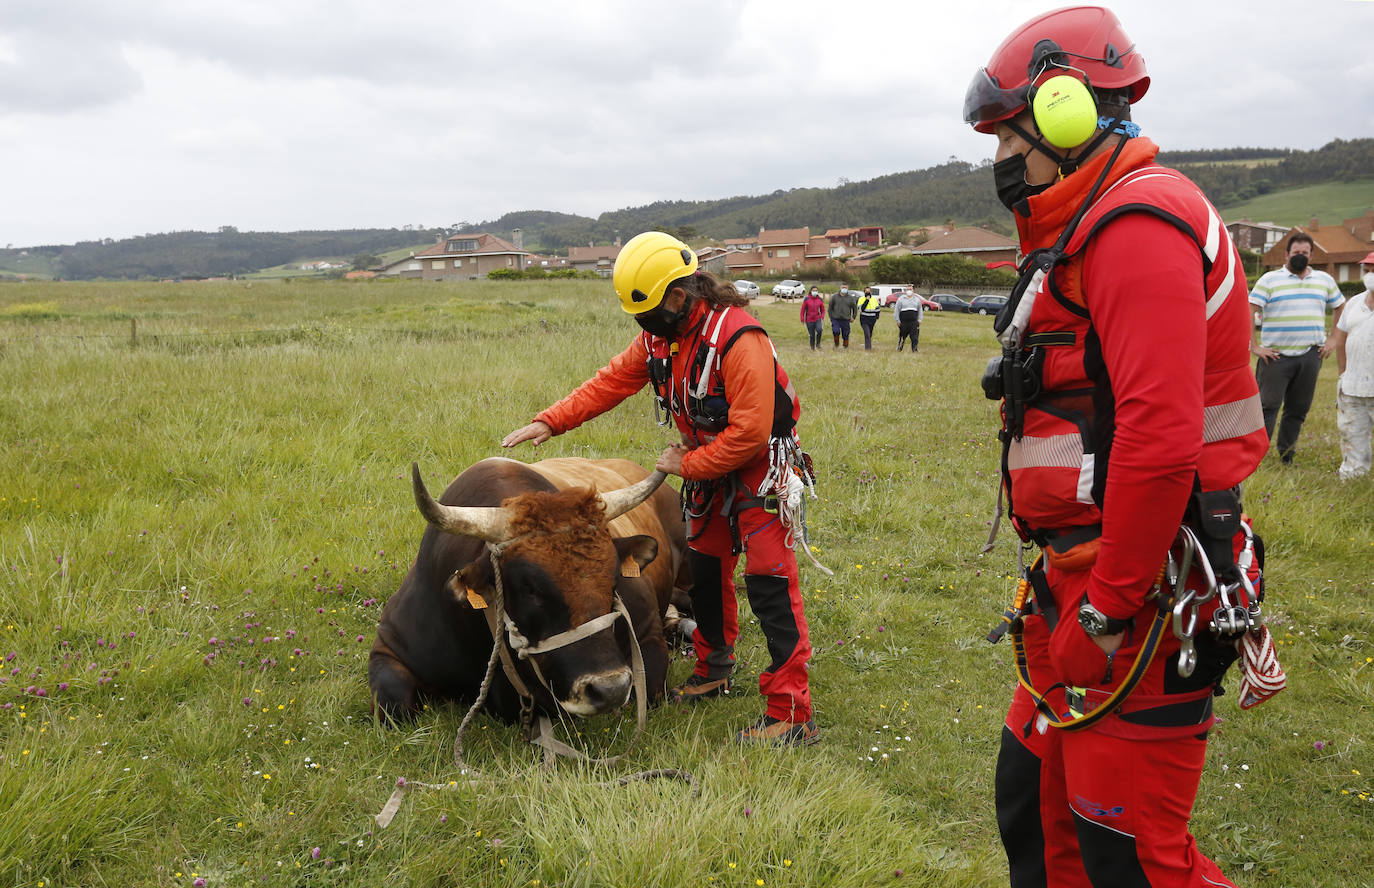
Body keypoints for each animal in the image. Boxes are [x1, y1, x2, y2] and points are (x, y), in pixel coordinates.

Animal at [368, 459, 687, 725]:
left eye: (614, 581)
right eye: (529, 588)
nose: (609, 689)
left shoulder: (647, 636)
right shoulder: (389, 647)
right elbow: (394, 706)